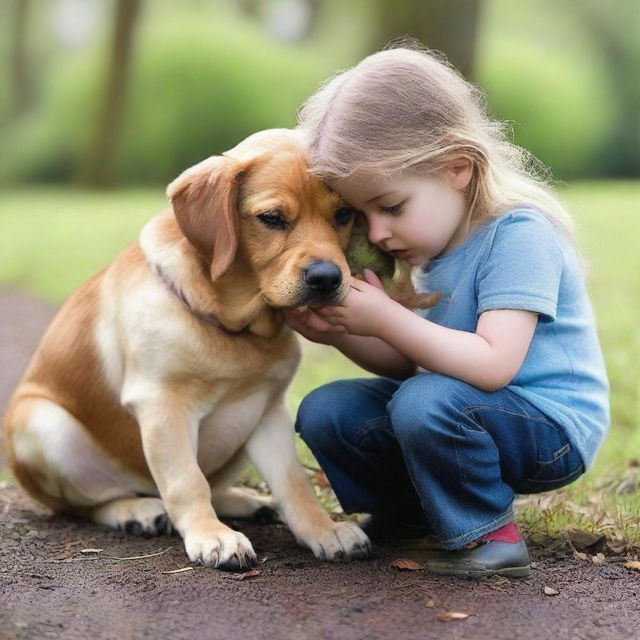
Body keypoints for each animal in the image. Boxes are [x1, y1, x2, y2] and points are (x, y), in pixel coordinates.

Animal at [2, 129, 372, 568]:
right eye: (271, 218)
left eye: (343, 214)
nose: (327, 278)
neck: (234, 326)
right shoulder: (163, 404)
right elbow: (186, 481)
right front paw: (212, 536)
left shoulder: (267, 409)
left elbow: (293, 482)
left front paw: (324, 530)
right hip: (42, 423)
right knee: (87, 504)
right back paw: (138, 510)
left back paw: (243, 501)